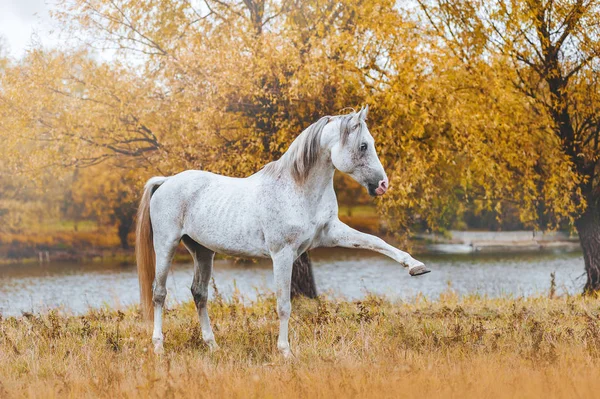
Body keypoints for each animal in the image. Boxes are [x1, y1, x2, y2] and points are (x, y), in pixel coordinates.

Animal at [137, 105, 426, 356]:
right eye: (363, 145)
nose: (382, 185)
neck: (297, 187)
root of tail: (166, 181)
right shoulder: (283, 255)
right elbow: (284, 305)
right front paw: (286, 351)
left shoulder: (331, 233)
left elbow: (375, 241)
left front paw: (416, 266)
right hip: (166, 245)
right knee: (159, 294)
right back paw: (159, 346)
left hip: (203, 251)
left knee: (199, 294)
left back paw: (212, 345)